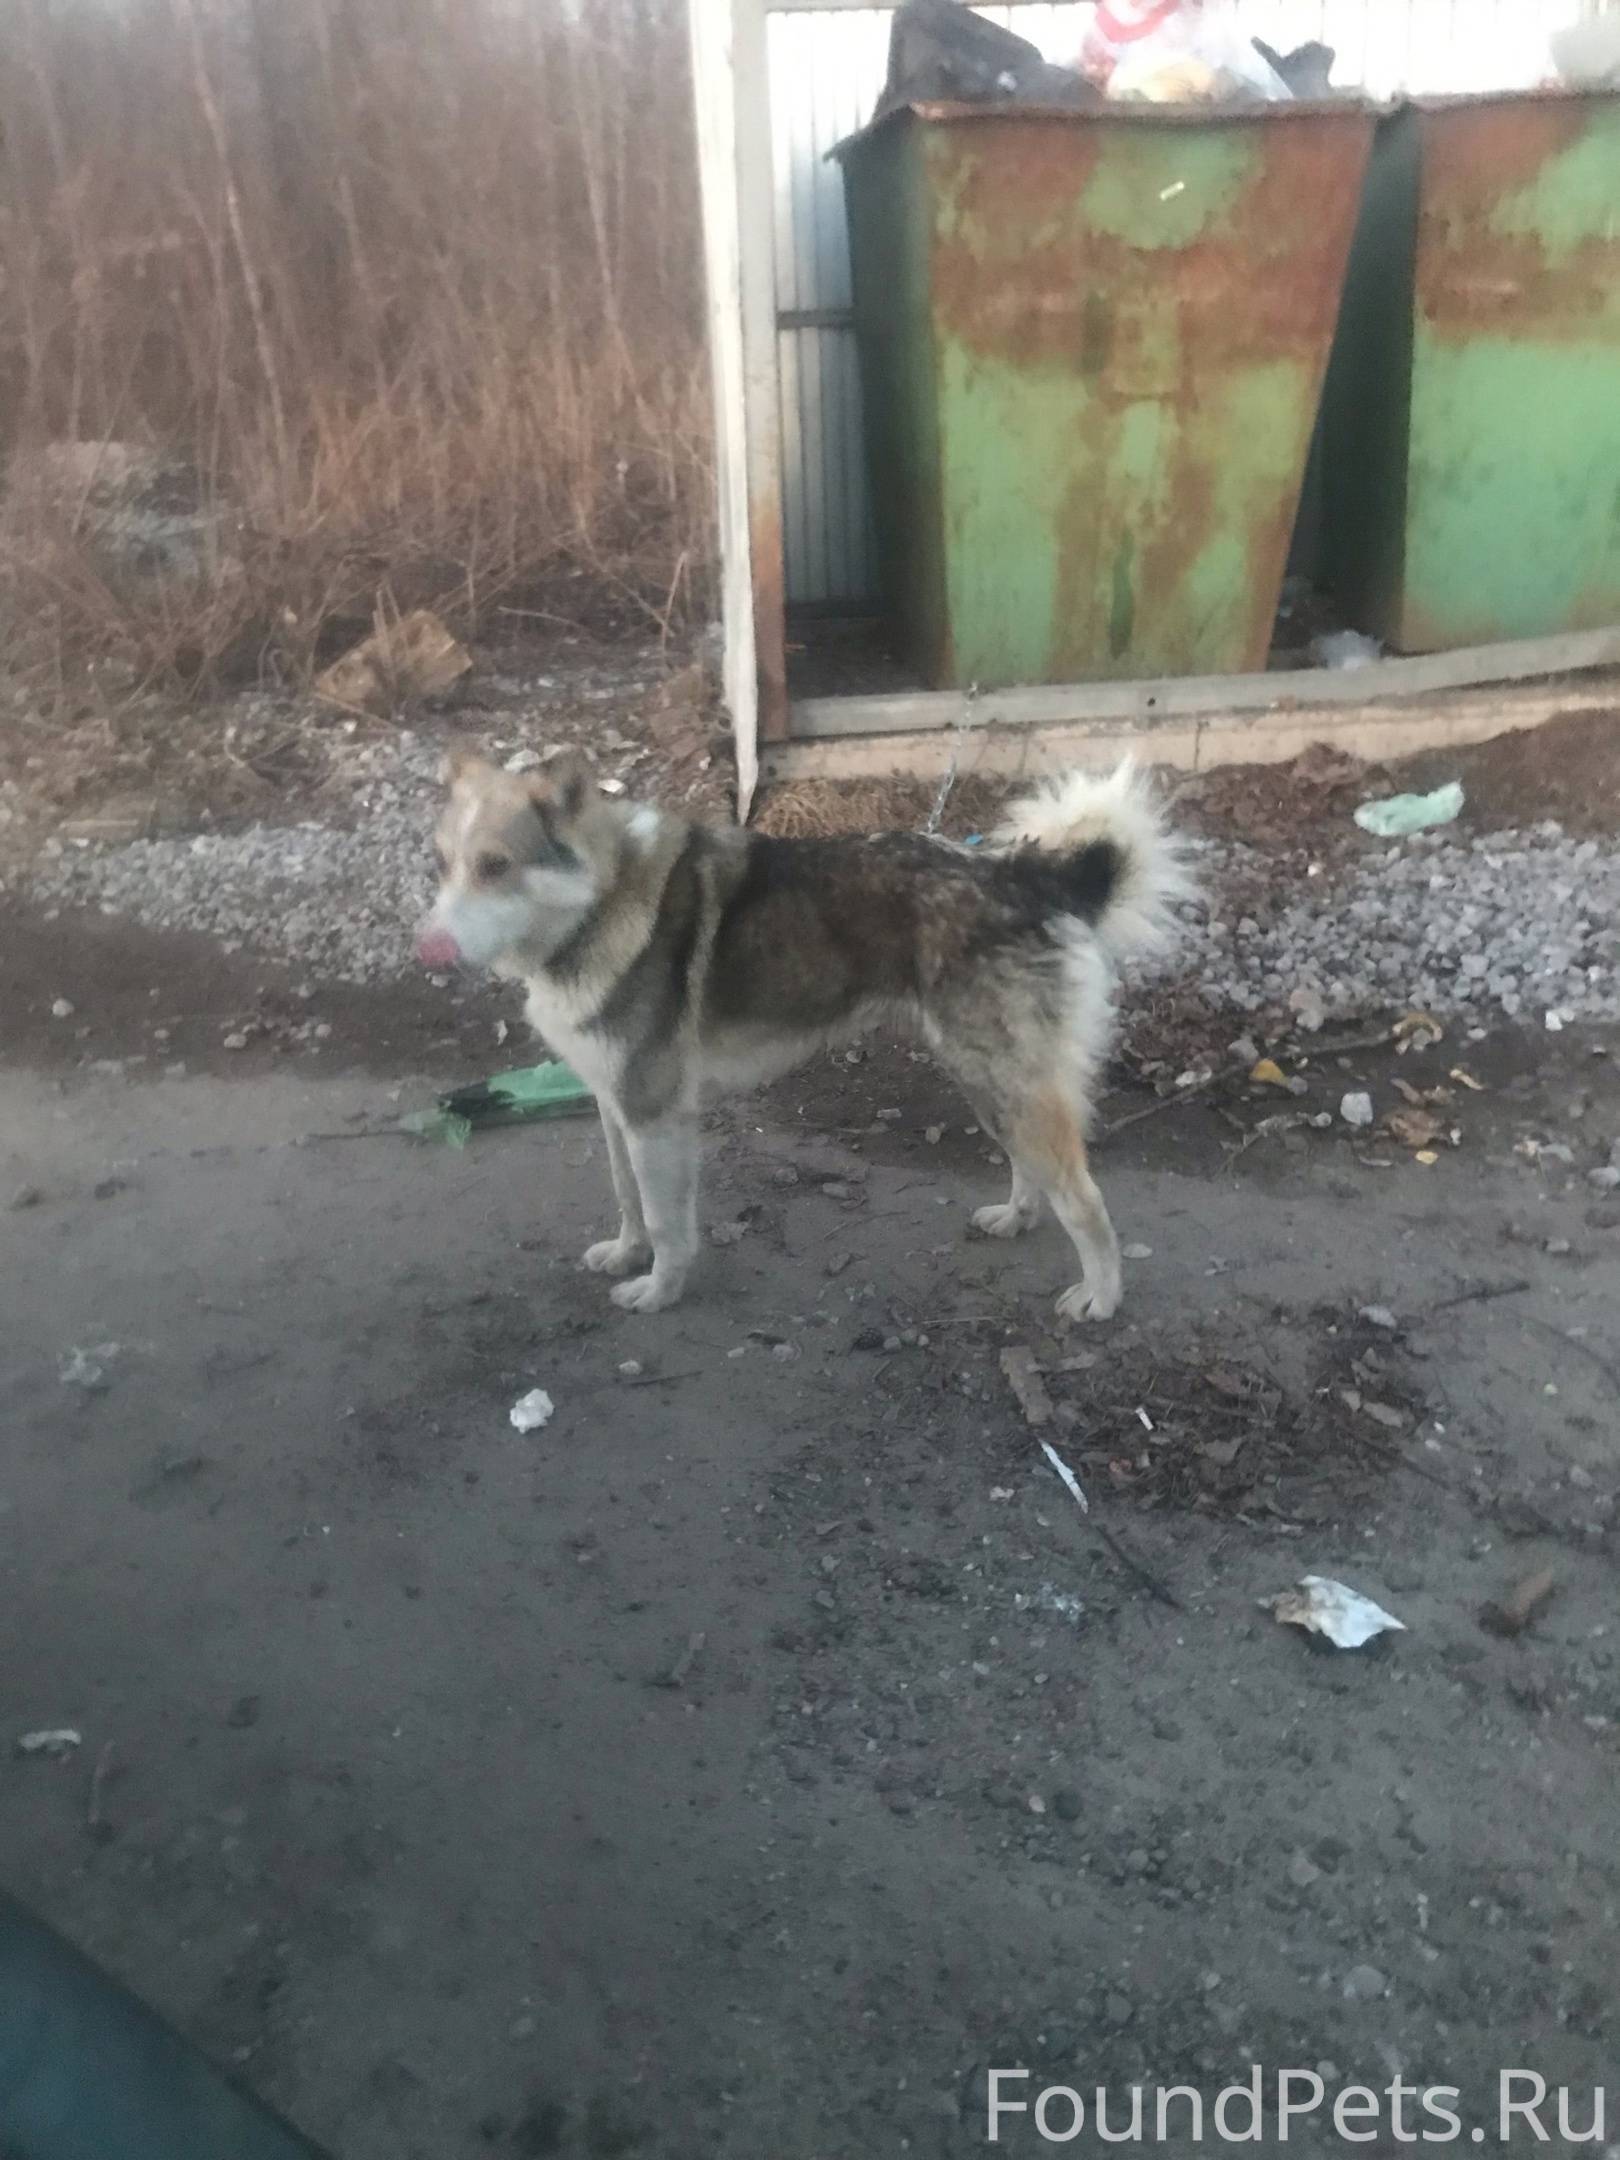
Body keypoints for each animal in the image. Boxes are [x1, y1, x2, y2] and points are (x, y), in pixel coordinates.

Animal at [417, 751, 1192, 1318]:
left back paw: (1101, 1297)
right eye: (443, 864)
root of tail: (1022, 874)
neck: (598, 905)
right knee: (1030, 1169)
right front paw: (627, 1254)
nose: (428, 951)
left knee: (1084, 1199)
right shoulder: (618, 1107)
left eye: (496, 865)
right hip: (986, 1079)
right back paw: (1016, 1217)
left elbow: (668, 1223)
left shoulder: (654, 1114)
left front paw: (661, 1291)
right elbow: (628, 1198)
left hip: (1006, 1081)